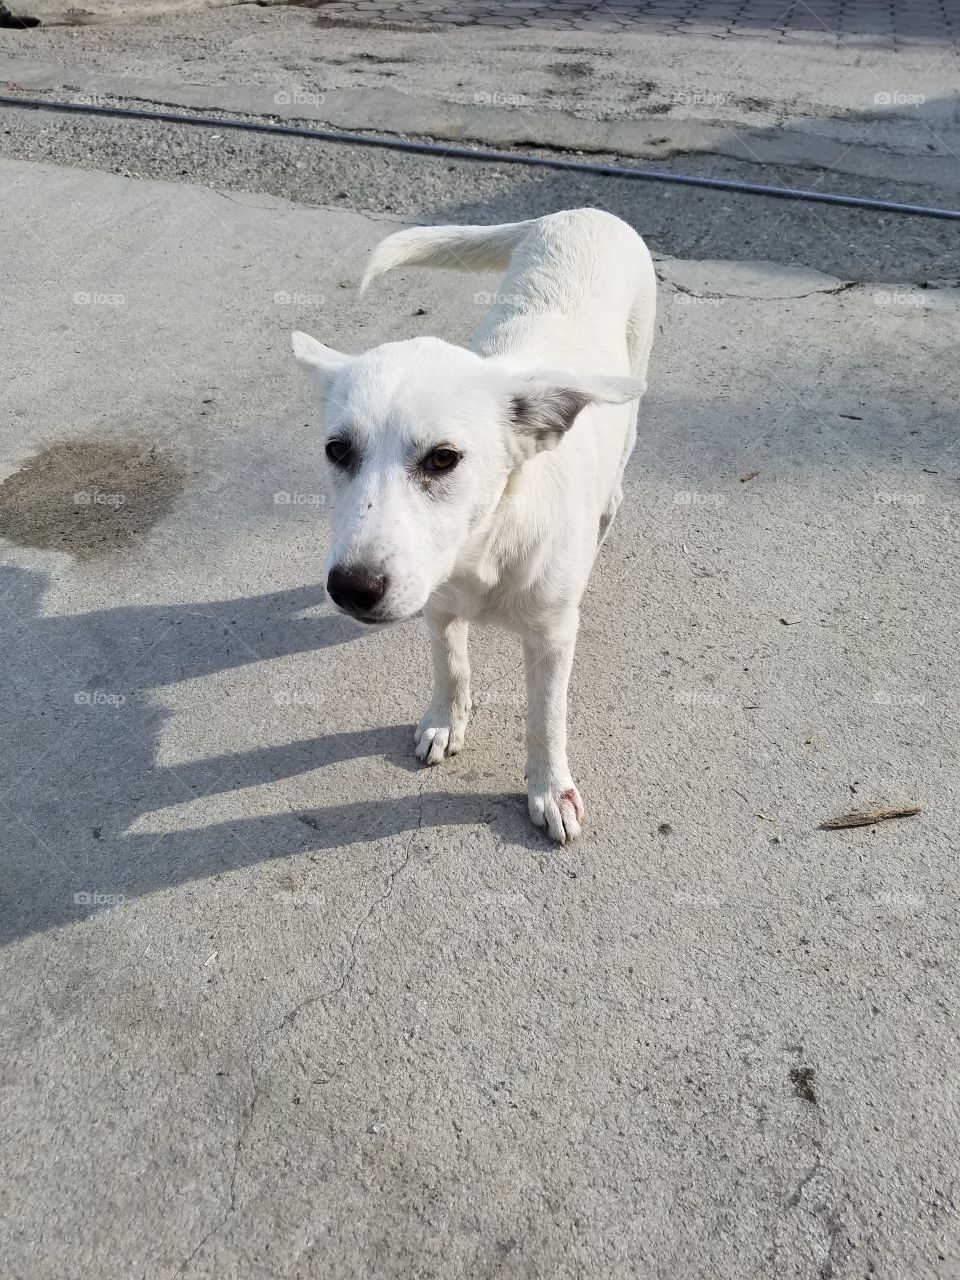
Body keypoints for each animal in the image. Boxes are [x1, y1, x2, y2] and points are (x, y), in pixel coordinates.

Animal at [291, 208, 655, 844]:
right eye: (337, 450)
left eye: (443, 459)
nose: (351, 589)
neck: (481, 551)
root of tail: (582, 212)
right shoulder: (437, 608)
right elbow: (451, 668)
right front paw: (445, 722)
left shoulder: (553, 637)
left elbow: (545, 719)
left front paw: (549, 790)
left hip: (632, 399)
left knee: (616, 487)